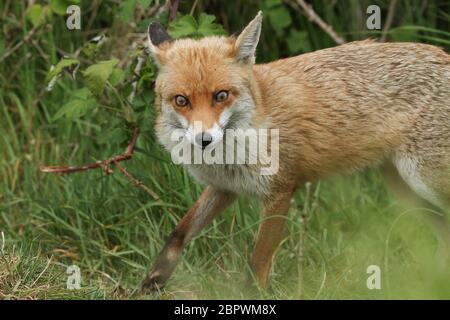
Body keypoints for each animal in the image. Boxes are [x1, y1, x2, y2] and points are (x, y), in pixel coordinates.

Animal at [142, 11, 450, 292]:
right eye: (181, 100)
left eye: (221, 95)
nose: (203, 140)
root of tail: (443, 55)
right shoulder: (224, 187)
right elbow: (178, 234)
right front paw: (150, 284)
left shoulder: (280, 191)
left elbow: (258, 262)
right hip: (407, 191)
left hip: (423, 181)